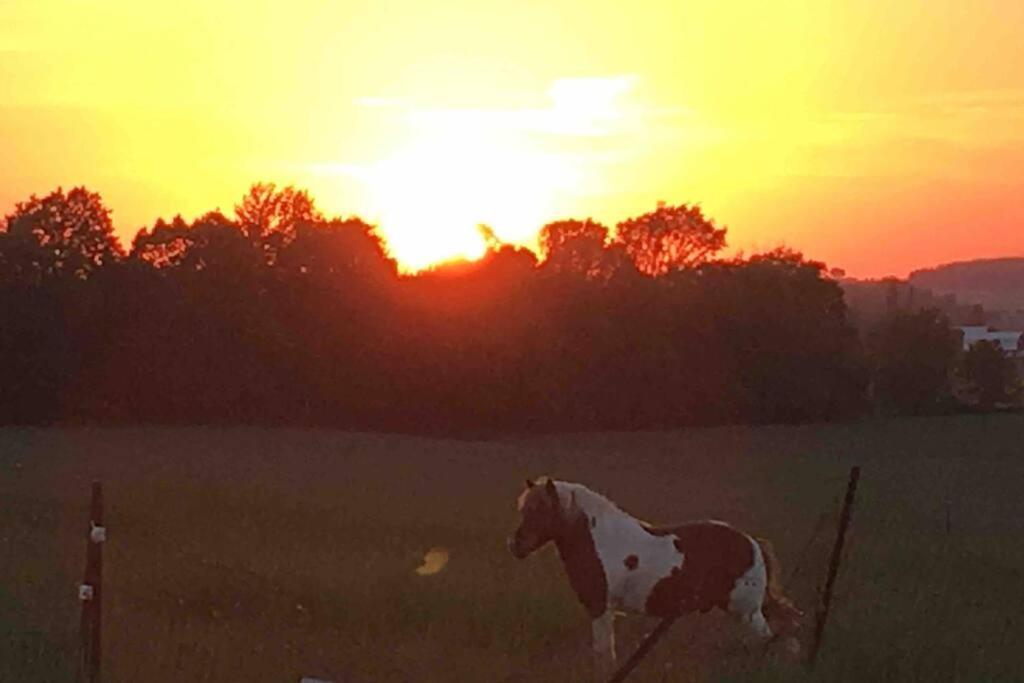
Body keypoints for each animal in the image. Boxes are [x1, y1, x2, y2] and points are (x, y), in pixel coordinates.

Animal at [507, 479, 802, 679]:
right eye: (525, 510)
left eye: (540, 511)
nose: (515, 546)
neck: (600, 539)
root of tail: (753, 543)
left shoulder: (601, 608)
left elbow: (604, 654)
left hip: (747, 612)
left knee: (770, 641)